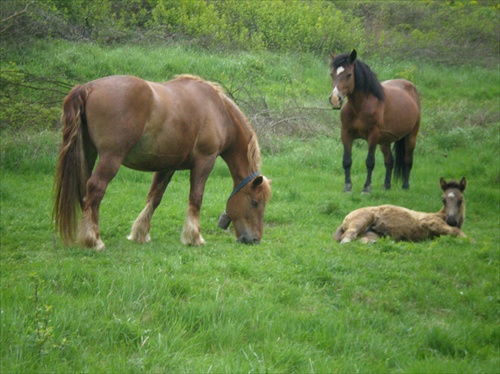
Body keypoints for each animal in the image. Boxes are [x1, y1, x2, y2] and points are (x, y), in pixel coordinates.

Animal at [53, 74, 272, 250]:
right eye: (255, 202)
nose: (254, 239)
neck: (218, 111)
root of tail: (88, 87)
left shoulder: (167, 166)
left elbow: (155, 197)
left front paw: (140, 233)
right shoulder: (204, 162)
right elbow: (196, 197)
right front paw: (194, 237)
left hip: (87, 154)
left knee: (85, 189)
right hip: (110, 158)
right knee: (96, 188)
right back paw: (94, 240)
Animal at [330, 49, 420, 193]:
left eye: (349, 74)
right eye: (332, 74)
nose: (334, 99)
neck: (360, 107)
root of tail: (411, 87)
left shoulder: (372, 136)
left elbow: (370, 162)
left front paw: (366, 188)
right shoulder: (346, 133)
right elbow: (347, 161)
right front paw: (347, 187)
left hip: (411, 135)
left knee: (407, 160)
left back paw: (405, 186)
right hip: (385, 141)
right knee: (389, 161)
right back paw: (386, 186)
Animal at [334, 177, 466, 244]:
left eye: (460, 200)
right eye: (443, 199)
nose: (451, 220)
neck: (440, 215)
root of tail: (346, 218)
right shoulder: (430, 222)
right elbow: (455, 231)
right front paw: (469, 240)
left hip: (372, 233)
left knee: (362, 240)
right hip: (362, 220)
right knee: (347, 237)